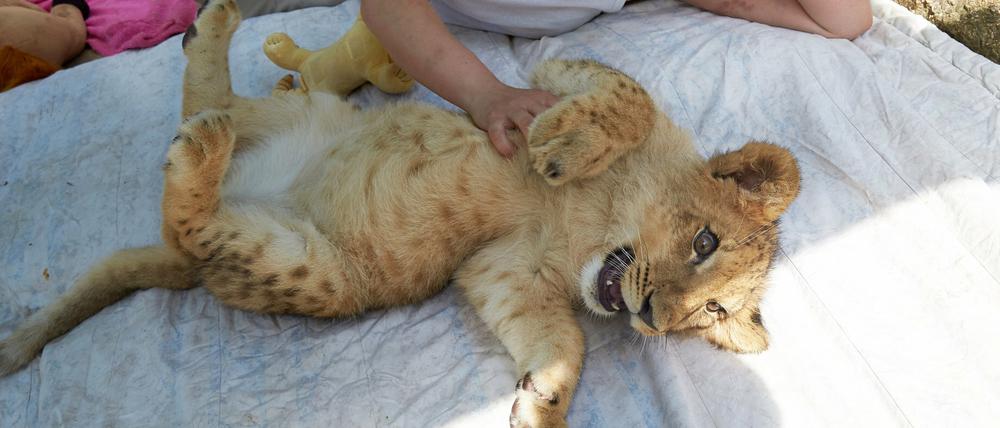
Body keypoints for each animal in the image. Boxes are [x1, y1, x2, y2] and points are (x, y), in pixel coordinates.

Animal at [0, 1, 801, 426]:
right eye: (704, 241)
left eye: (713, 314)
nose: (655, 320)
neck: (590, 232)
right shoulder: (554, 77)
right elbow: (624, 97)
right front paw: (560, 146)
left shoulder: (495, 272)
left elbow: (563, 339)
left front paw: (543, 398)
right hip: (311, 157)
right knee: (200, 138)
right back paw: (215, 38)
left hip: (317, 267)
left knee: (192, 185)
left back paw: (206, 95)